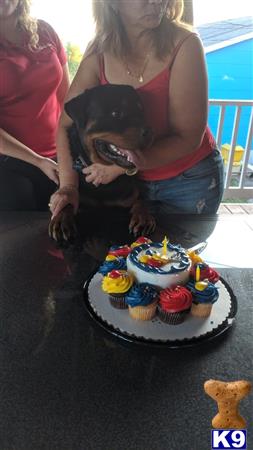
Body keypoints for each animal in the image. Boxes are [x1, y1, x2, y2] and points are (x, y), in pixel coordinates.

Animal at [49, 85, 155, 244]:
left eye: (141, 111)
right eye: (115, 113)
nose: (150, 132)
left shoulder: (133, 193)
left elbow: (142, 199)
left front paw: (143, 216)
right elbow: (66, 199)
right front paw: (62, 218)